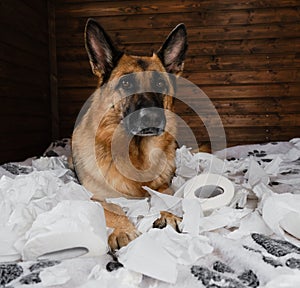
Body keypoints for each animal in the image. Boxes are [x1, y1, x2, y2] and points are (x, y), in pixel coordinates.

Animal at [71, 19, 186, 251]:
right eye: (126, 84)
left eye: (160, 83)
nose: (151, 117)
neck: (136, 154)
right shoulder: (95, 197)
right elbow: (111, 209)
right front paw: (122, 230)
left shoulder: (164, 186)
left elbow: (165, 196)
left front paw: (169, 214)